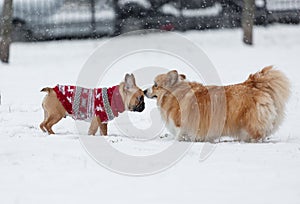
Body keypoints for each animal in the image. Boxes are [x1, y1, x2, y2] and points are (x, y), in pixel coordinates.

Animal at [145, 66, 290, 142]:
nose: (145, 91)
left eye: (155, 85)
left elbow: (179, 135)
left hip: (249, 121)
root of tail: (252, 83)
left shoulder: (182, 125)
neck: (174, 92)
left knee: (257, 135)